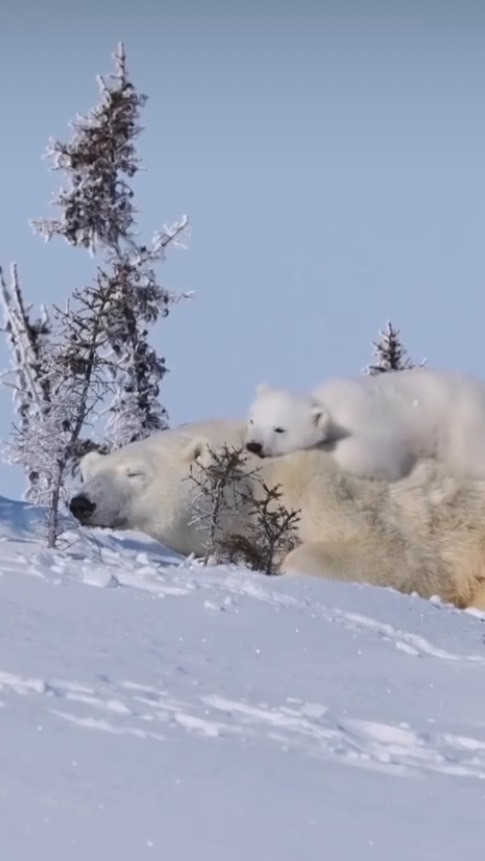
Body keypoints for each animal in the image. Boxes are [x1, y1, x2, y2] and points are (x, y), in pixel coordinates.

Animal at [246, 364, 485, 480]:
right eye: (252, 420)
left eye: (279, 429)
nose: (253, 445)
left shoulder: (364, 423)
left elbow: (373, 458)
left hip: (461, 425)